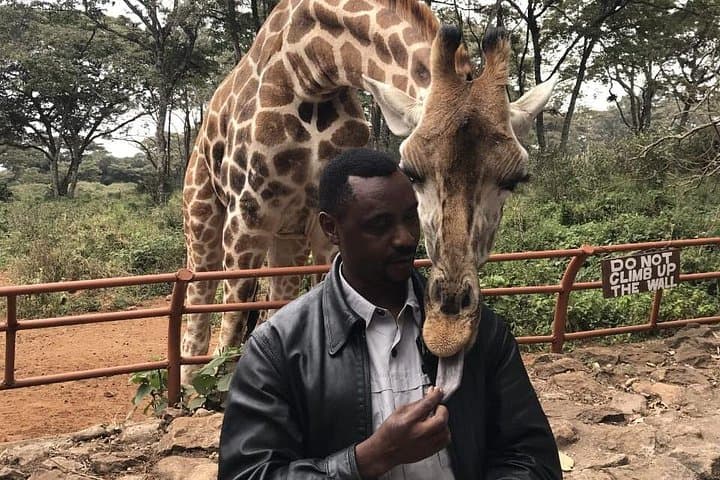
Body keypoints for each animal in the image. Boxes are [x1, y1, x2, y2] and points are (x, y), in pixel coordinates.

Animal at [181, 0, 558, 382]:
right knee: (198, 305)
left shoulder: (322, 223)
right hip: (204, 217)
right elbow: (233, 320)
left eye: (514, 180)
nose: (448, 330)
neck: (313, 71)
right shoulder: (247, 214)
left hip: (287, 235)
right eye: (411, 172)